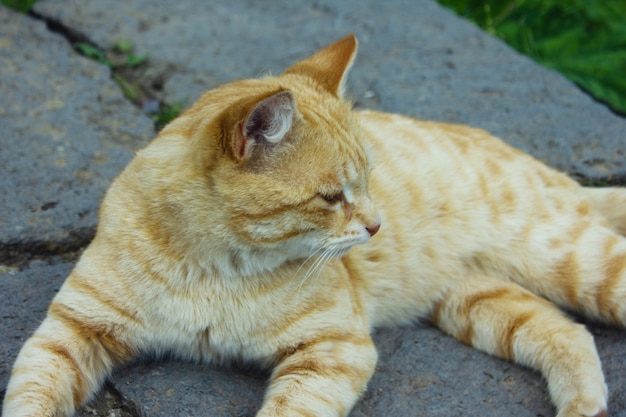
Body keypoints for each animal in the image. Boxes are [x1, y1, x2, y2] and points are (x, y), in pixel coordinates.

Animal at [2, 35, 620, 416]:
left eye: (369, 179)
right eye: (331, 197)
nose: (377, 226)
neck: (212, 269)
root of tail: (557, 176)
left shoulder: (334, 347)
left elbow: (289, 409)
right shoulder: (71, 330)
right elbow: (30, 392)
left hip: (574, 261)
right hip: (476, 304)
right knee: (567, 333)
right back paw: (583, 406)